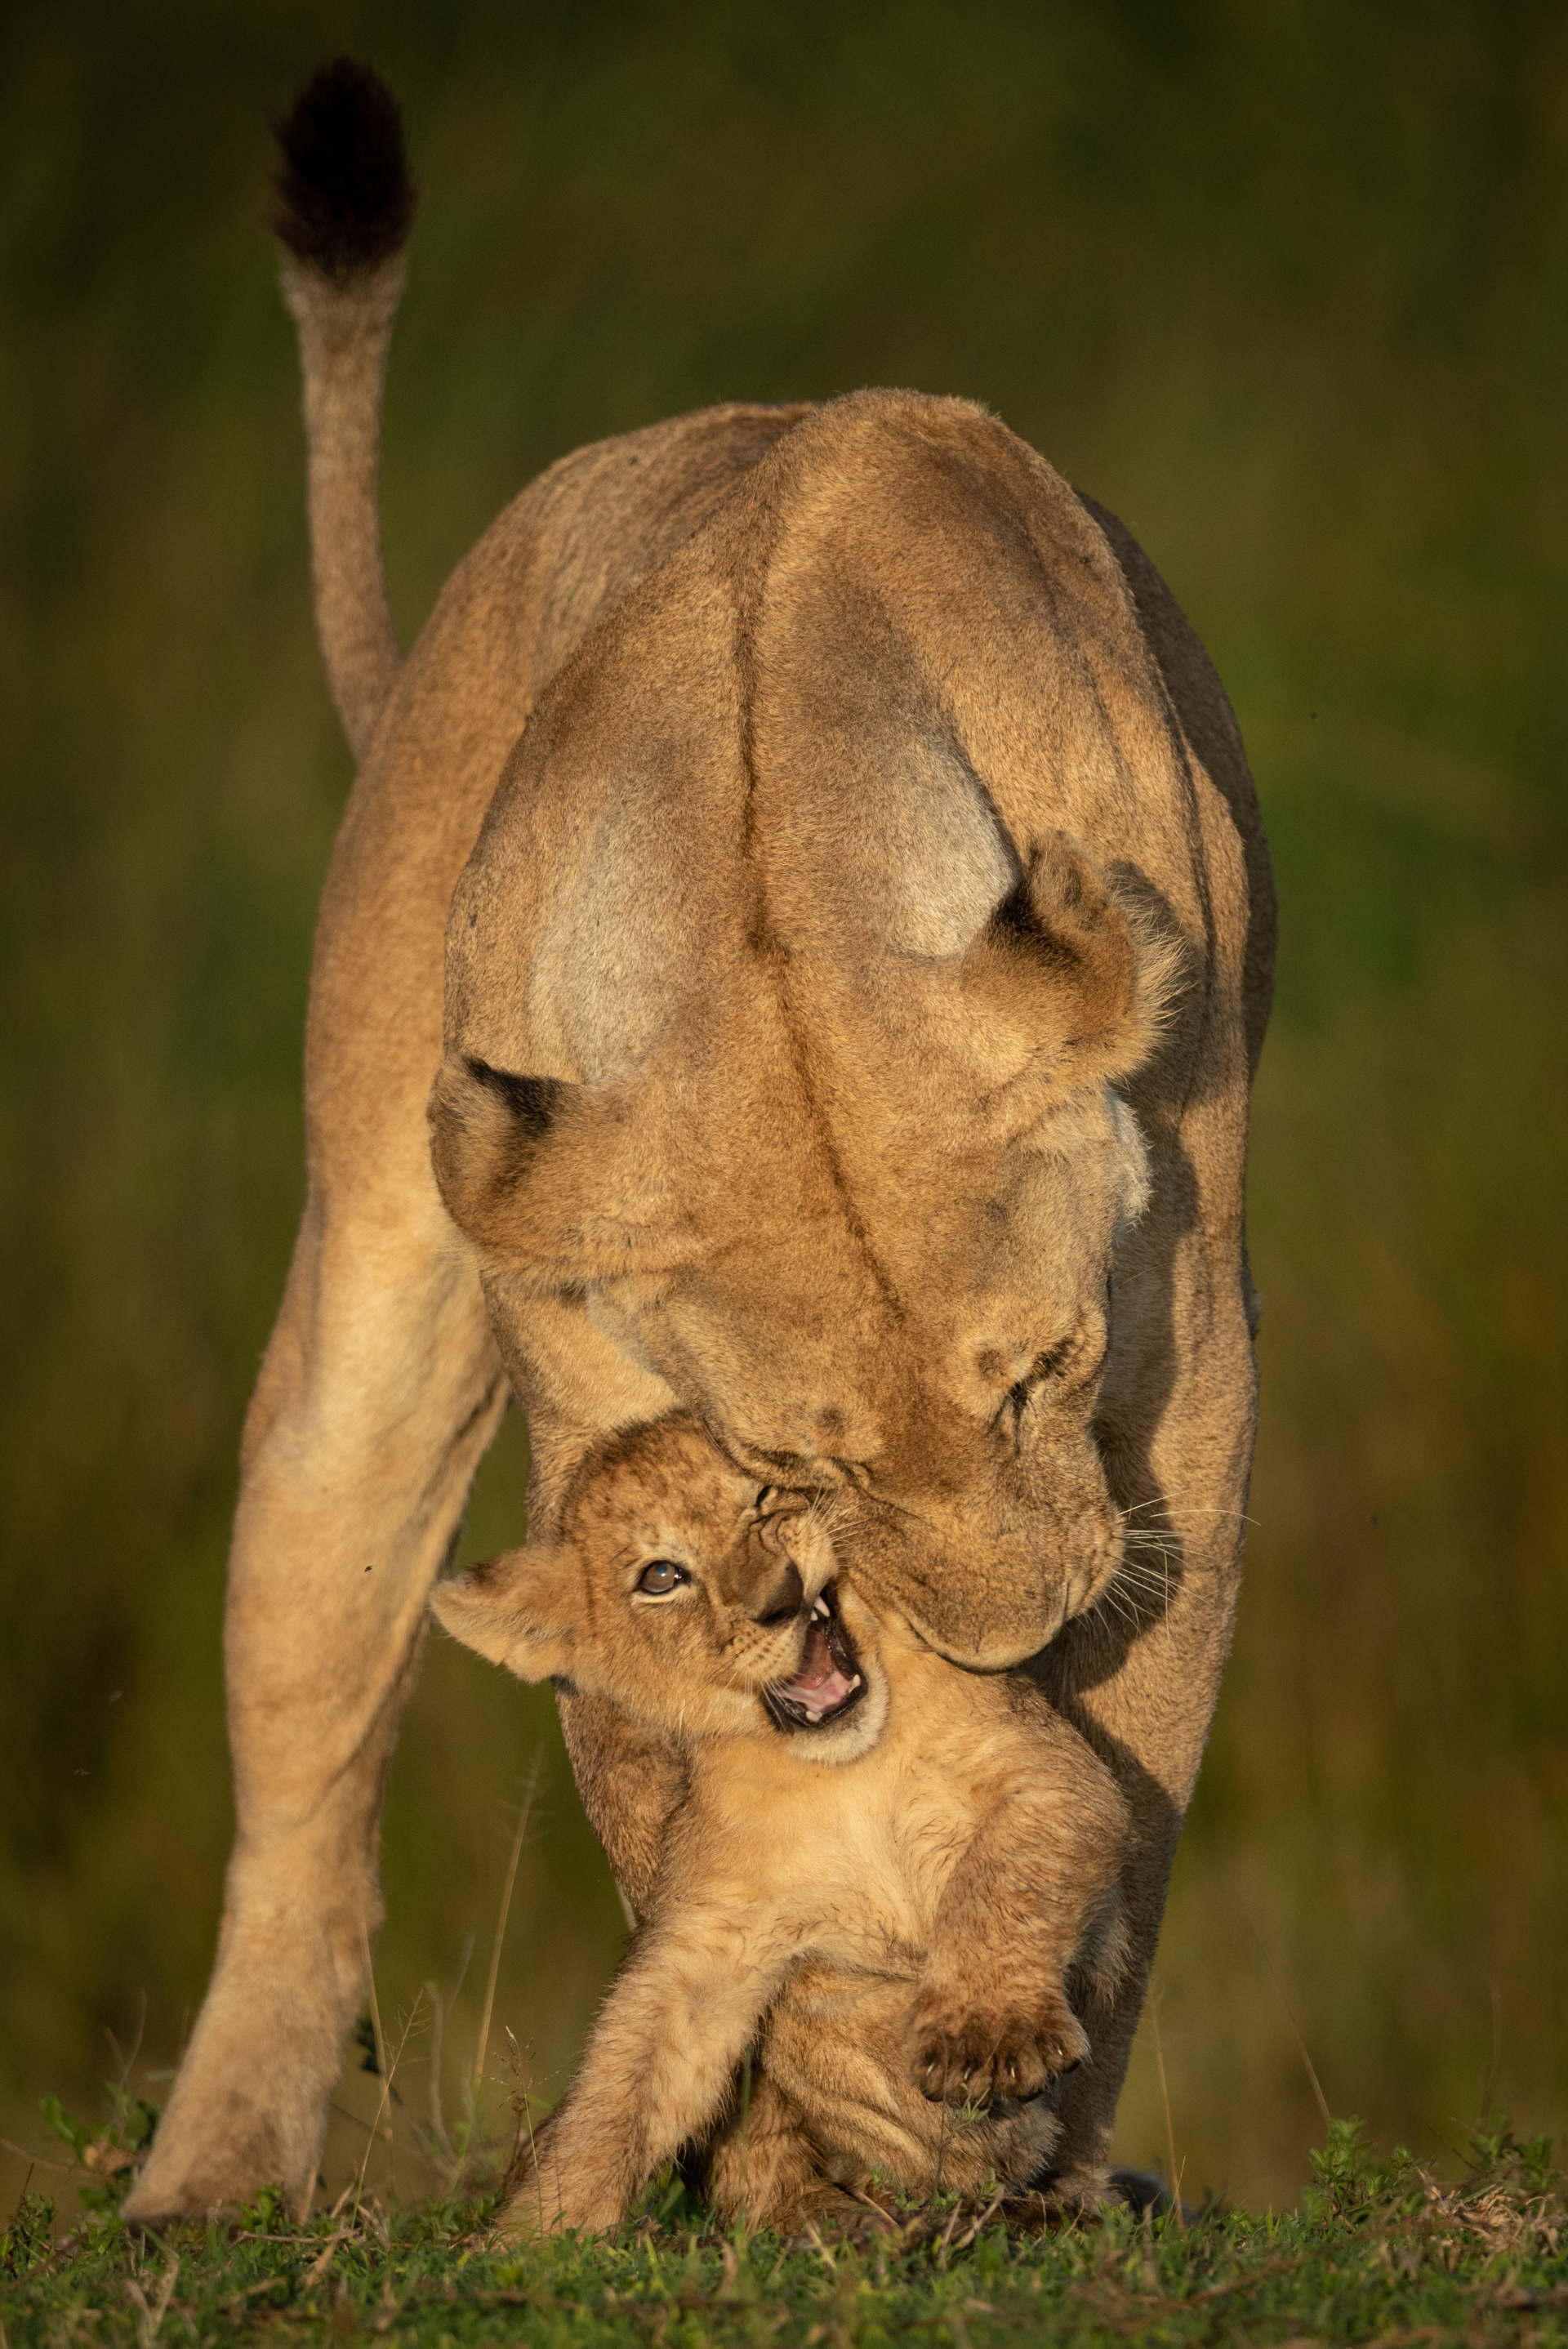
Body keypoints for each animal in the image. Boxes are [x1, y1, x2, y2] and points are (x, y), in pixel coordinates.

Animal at [431, 1415, 1130, 2234]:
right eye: (661, 1577)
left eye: (763, 1498)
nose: (781, 1597)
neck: (846, 1771)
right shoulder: (710, 1932)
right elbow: (627, 2079)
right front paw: (536, 2233)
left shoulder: (1050, 1776)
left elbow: (1000, 1885)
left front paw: (985, 2038)